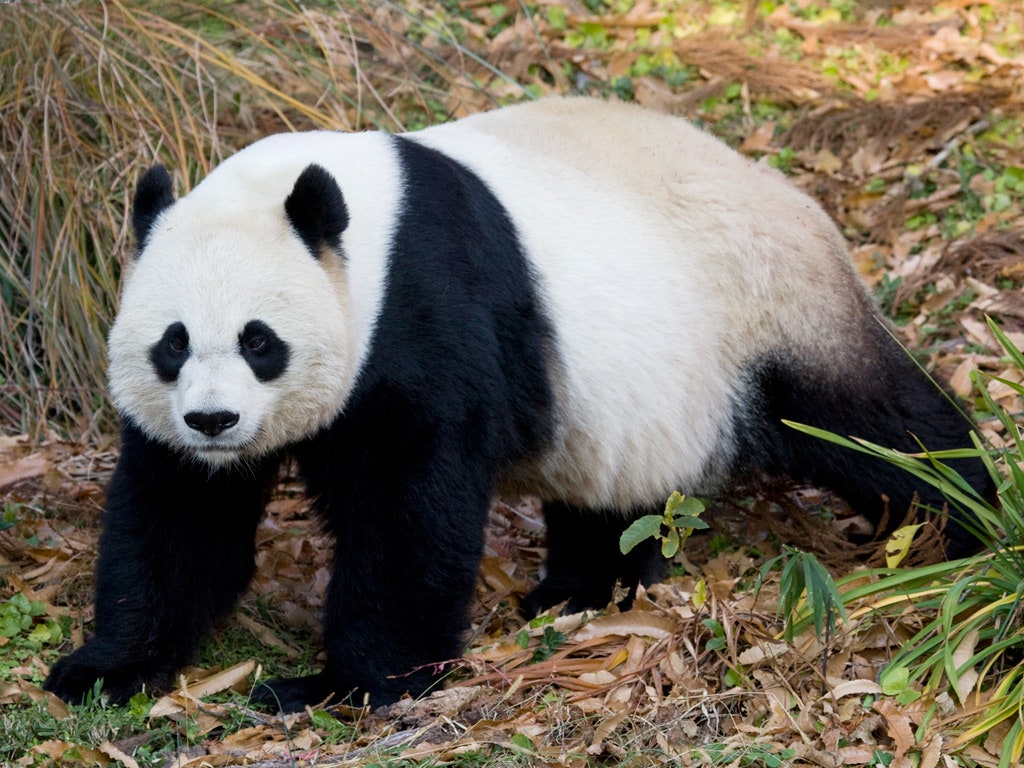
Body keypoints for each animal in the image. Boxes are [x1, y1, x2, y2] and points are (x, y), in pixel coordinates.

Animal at [46, 97, 991, 716]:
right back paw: (578, 591)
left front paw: (340, 685)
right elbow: (180, 517)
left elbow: (408, 506)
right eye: (172, 343)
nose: (213, 423)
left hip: (768, 309)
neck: (337, 215)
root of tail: (794, 195)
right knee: (617, 494)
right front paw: (103, 670)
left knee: (871, 421)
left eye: (259, 341)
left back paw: (973, 525)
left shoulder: (423, 308)